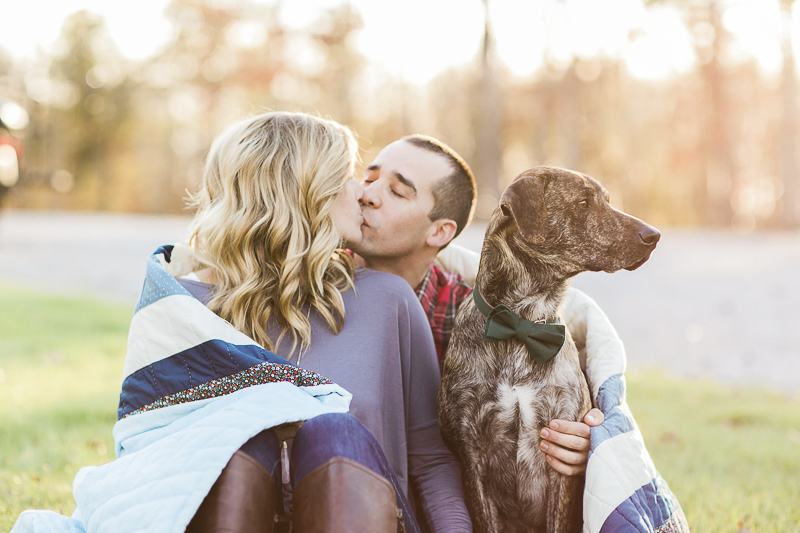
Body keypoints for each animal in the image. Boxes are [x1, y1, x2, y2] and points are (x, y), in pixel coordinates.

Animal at [440, 166, 660, 532]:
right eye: (583, 203)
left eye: (607, 200)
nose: (654, 235)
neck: (523, 323)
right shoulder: (471, 457)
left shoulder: (561, 454)